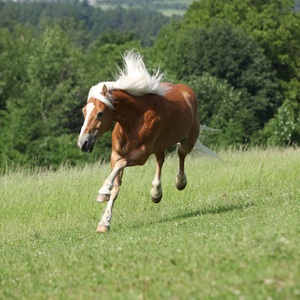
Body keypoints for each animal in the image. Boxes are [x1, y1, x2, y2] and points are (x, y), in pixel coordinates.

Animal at [77, 50, 219, 232]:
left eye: (100, 113)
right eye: (84, 111)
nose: (83, 143)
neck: (135, 118)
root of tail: (187, 91)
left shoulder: (142, 154)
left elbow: (120, 165)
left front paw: (102, 192)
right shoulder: (116, 154)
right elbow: (116, 184)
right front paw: (104, 222)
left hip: (189, 139)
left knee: (181, 153)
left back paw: (180, 182)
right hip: (160, 146)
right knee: (161, 160)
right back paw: (156, 193)